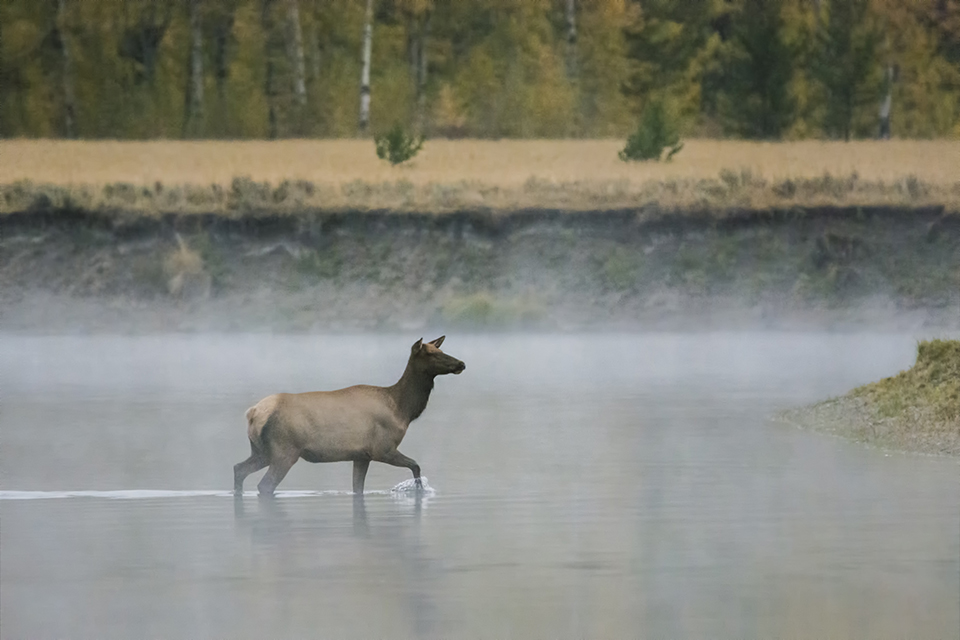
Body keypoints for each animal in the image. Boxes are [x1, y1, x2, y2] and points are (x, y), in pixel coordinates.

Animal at [234, 336, 465, 496]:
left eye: (441, 348)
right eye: (432, 354)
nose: (461, 363)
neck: (403, 410)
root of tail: (253, 413)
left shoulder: (361, 455)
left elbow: (358, 488)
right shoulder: (382, 448)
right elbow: (415, 465)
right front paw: (419, 490)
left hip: (262, 451)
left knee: (239, 469)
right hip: (285, 450)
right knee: (265, 485)